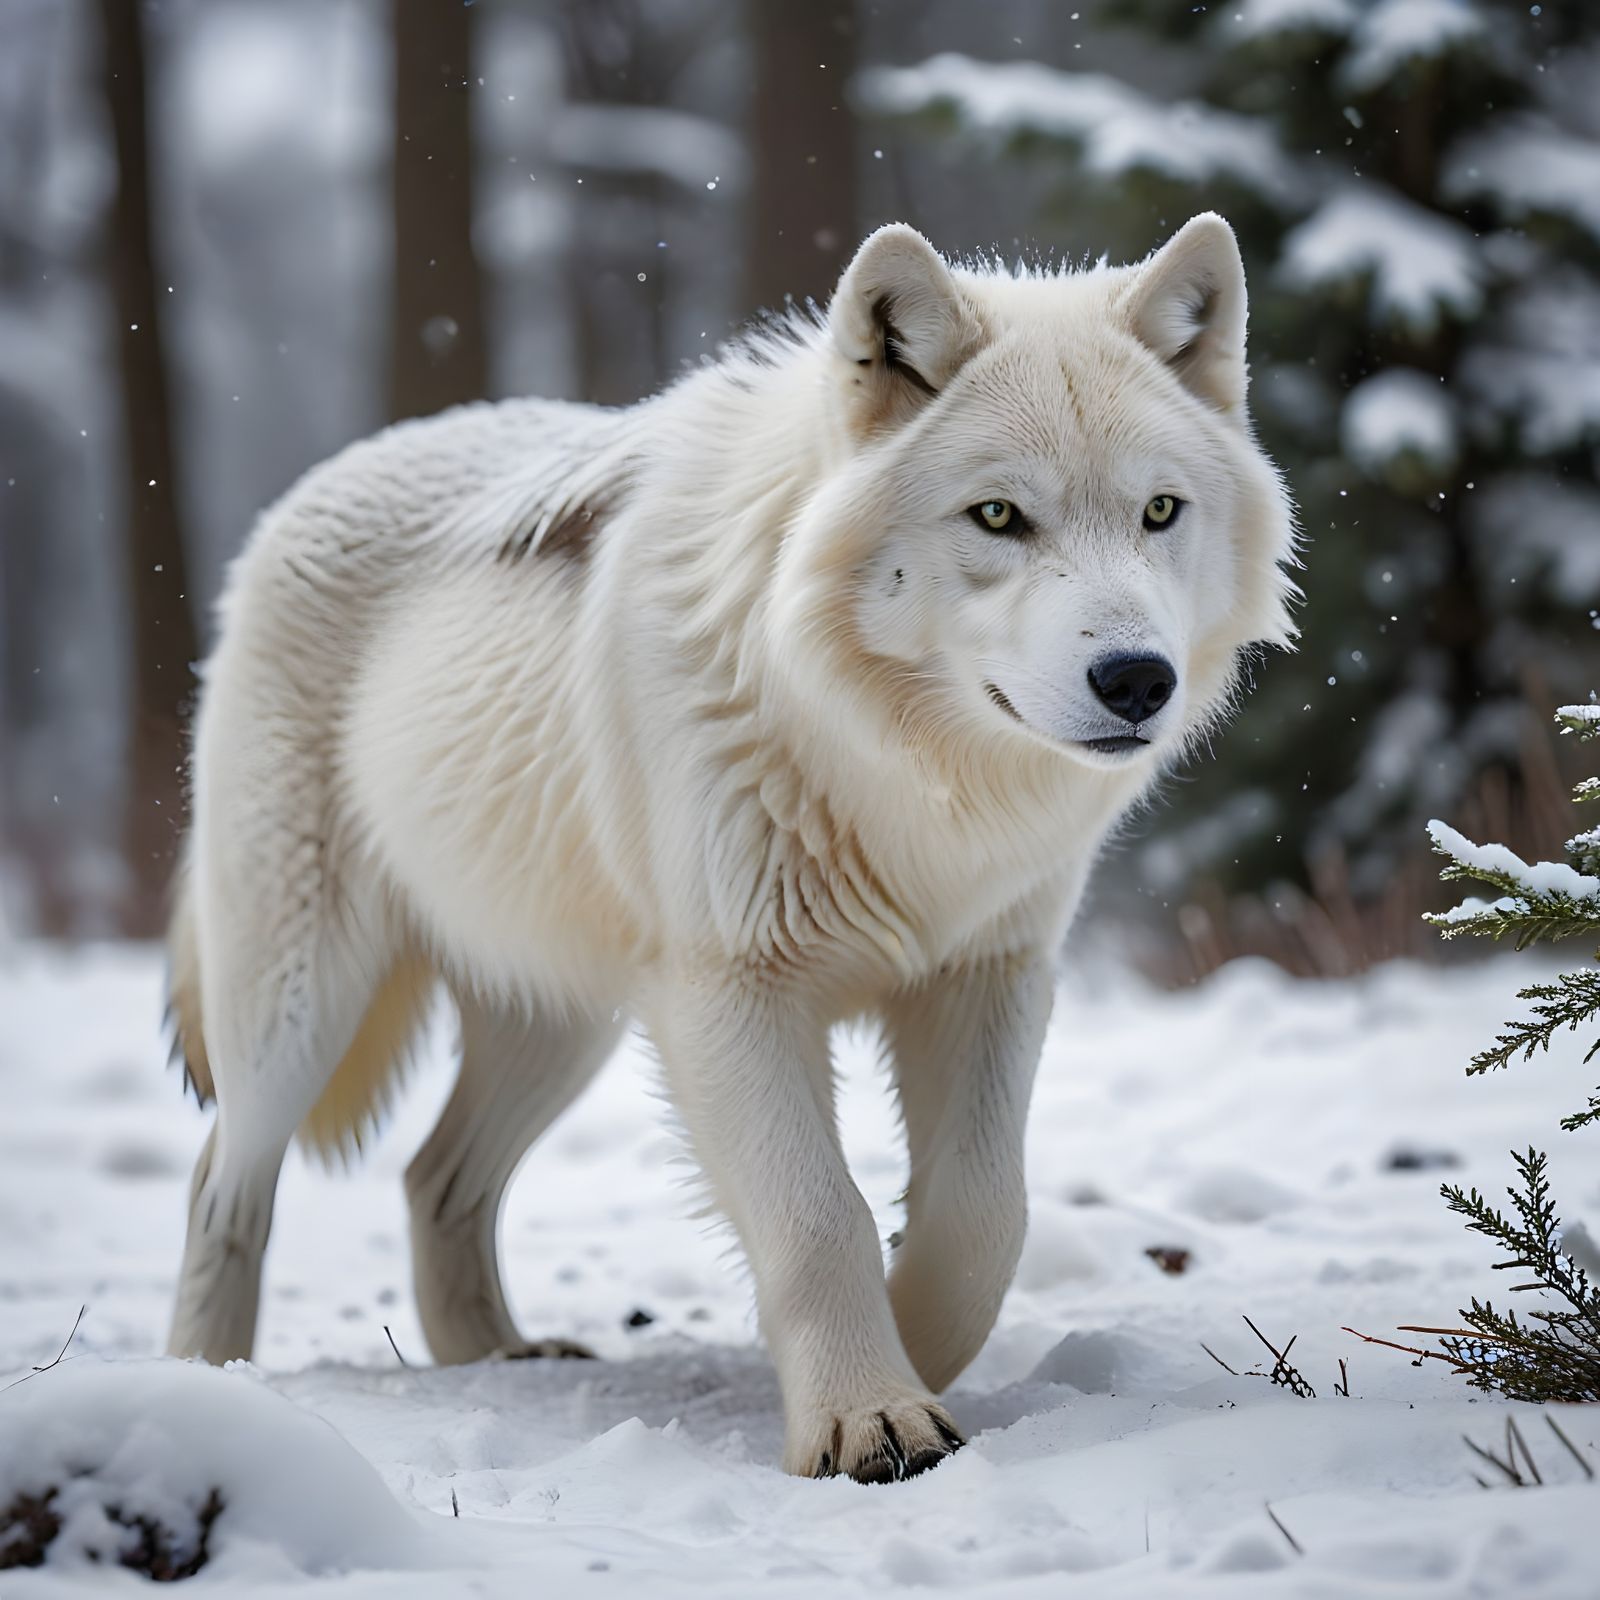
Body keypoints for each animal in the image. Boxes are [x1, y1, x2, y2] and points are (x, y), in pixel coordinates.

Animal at [166, 214, 1294, 1482]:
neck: (906, 779)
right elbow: (817, 1217)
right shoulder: (731, 995)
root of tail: (307, 488)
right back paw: (205, 1386)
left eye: (1160, 512)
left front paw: (916, 1344)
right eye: (999, 516)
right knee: (223, 1180)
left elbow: (982, 1212)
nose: (1136, 679)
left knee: (433, 1177)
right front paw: (868, 1414)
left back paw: (495, 1360)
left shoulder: (985, 974)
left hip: (566, 1019)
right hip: (301, 1005)